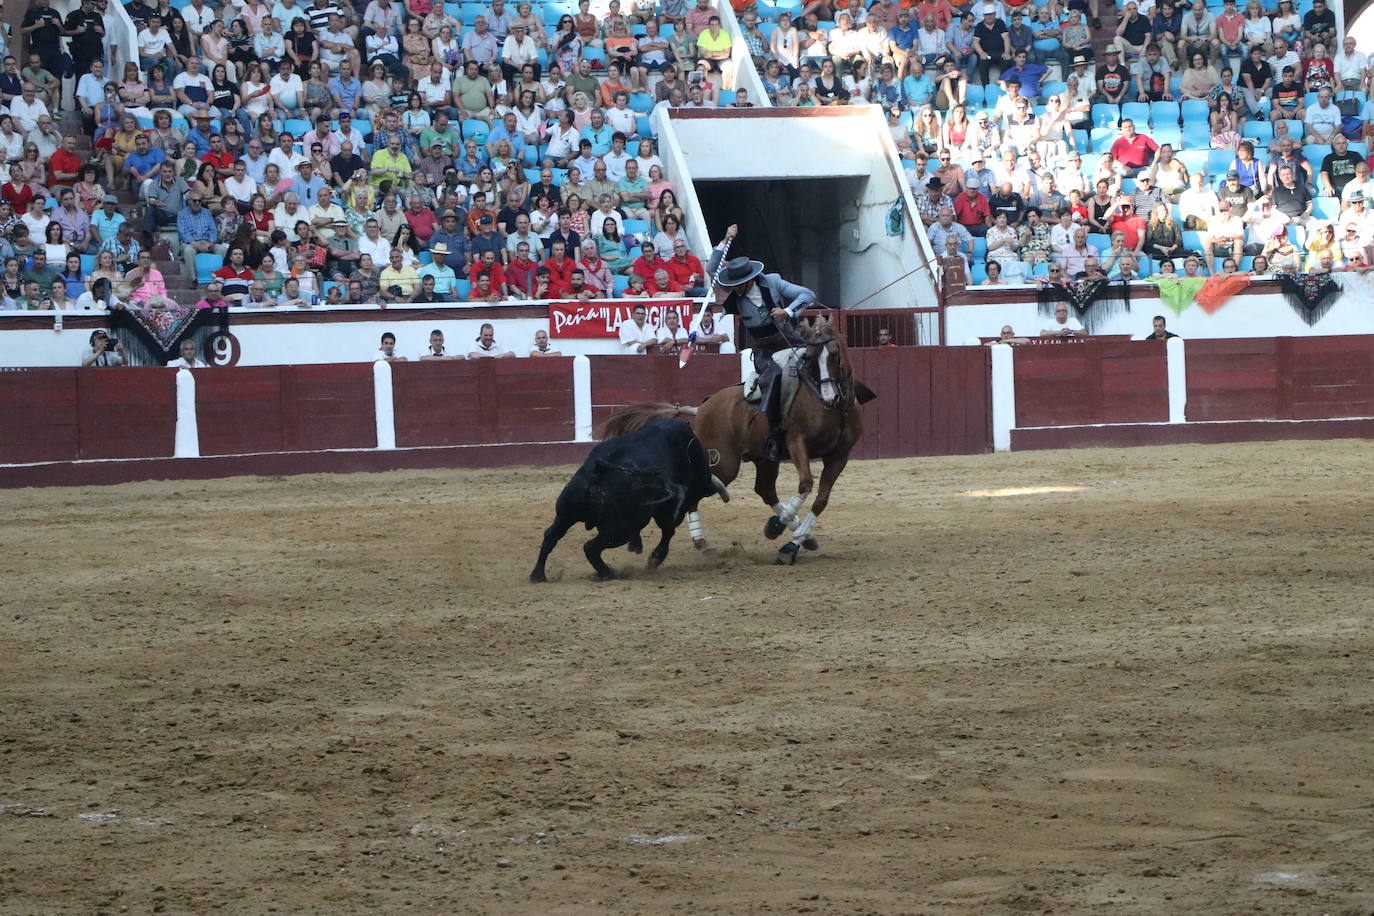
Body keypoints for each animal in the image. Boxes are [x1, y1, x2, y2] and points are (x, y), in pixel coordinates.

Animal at [530, 420, 736, 585]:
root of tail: (598, 473)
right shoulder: (669, 510)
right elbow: (668, 531)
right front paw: (655, 558)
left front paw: (638, 547)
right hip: (619, 530)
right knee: (590, 547)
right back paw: (609, 573)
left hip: (566, 514)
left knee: (551, 536)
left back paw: (538, 575)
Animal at [604, 318, 862, 563]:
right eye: (809, 356)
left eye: (835, 353)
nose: (829, 396)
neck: (833, 410)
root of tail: (702, 408)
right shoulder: (797, 443)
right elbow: (806, 483)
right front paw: (779, 529)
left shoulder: (839, 457)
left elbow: (820, 500)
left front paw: (792, 542)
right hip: (724, 462)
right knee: (701, 488)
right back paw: (699, 543)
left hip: (764, 458)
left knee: (765, 490)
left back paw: (805, 537)